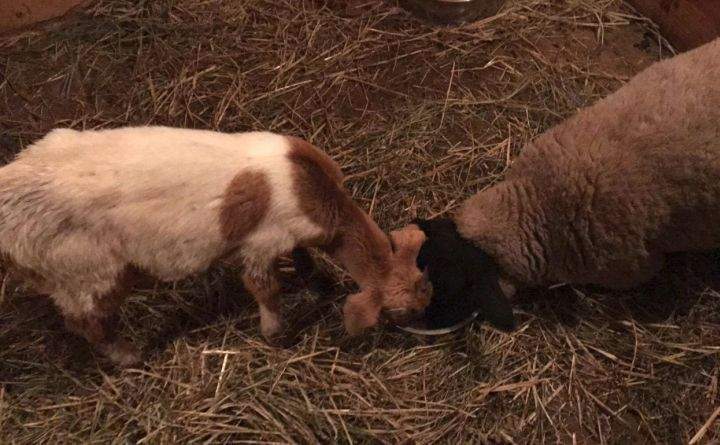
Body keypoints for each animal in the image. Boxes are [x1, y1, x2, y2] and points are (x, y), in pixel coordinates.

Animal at [0, 126, 432, 365]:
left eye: (425, 284)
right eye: (401, 312)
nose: (427, 319)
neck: (310, 190)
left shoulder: (289, 238)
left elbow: (303, 257)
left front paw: (316, 280)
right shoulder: (260, 244)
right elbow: (264, 288)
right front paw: (275, 333)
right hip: (87, 272)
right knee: (88, 323)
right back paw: (129, 357)